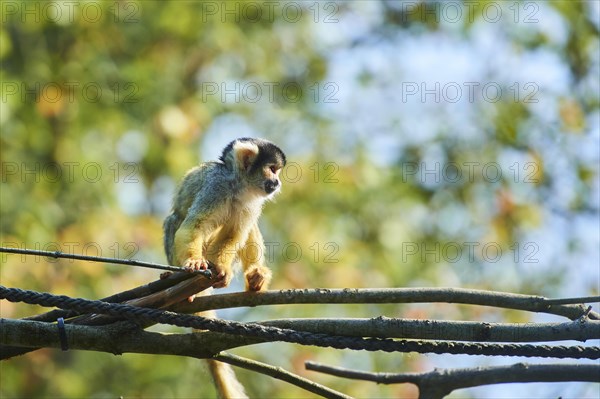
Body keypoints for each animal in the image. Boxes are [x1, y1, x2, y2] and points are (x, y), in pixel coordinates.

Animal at [164, 138, 286, 290]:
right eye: (272, 170)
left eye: (277, 171)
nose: (278, 182)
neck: (236, 186)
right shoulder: (216, 186)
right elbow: (194, 225)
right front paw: (194, 260)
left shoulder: (251, 203)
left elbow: (232, 234)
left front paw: (221, 267)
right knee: (174, 219)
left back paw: (256, 277)